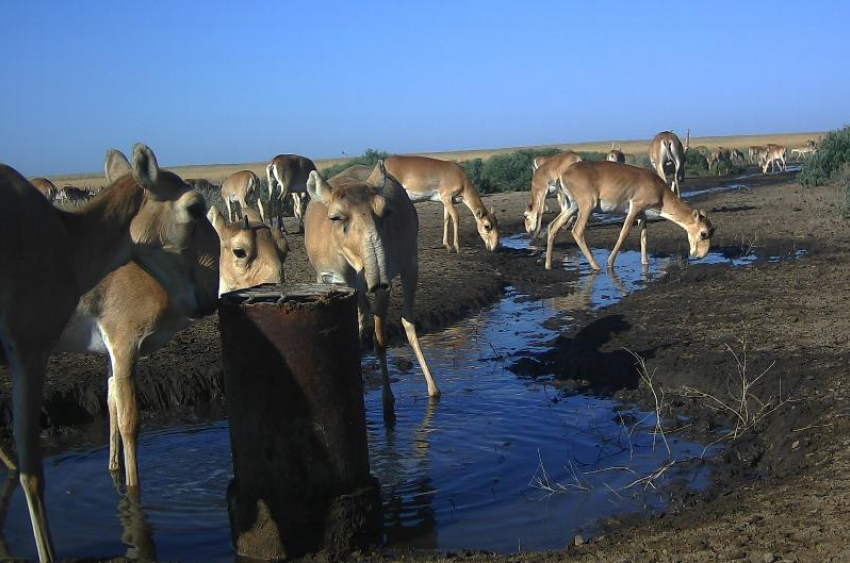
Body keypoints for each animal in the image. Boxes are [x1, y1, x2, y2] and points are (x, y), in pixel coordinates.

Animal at [304, 161, 438, 416]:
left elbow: (381, 340)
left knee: (408, 322)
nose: (375, 275)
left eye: (385, 212)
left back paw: (433, 389)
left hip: (410, 266)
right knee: (362, 317)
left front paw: (388, 401)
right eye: (336, 217)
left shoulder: (384, 289)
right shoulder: (332, 282)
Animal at [540, 160, 712, 272]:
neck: (661, 192)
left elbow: (644, 236)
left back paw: (548, 265)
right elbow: (624, 233)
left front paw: (645, 262)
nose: (700, 255)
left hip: (571, 207)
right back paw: (596, 266)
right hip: (587, 206)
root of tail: (563, 174)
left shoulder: (643, 215)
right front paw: (610, 263)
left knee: (553, 226)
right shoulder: (635, 208)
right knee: (577, 231)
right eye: (703, 233)